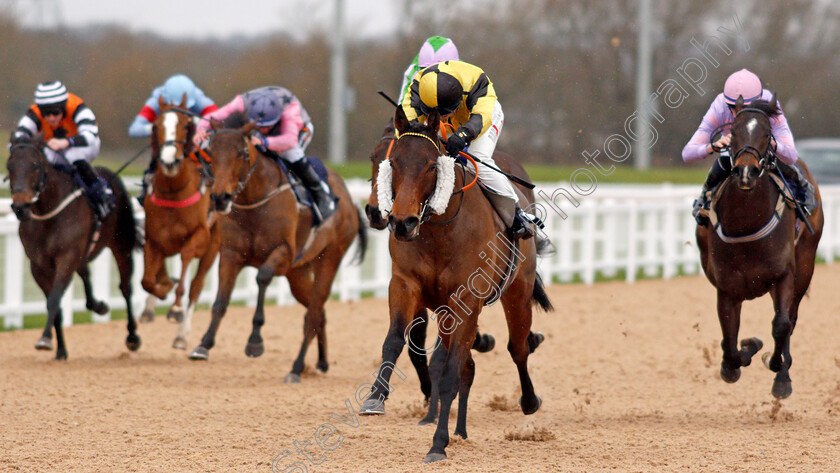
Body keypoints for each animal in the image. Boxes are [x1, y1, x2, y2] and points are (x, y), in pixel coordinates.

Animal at [140, 97, 220, 348]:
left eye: (186, 125)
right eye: (156, 126)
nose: (169, 161)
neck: (174, 192)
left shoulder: (200, 236)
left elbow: (186, 265)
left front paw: (175, 308)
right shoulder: (153, 239)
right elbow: (147, 281)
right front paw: (163, 288)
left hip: (215, 244)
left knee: (196, 286)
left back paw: (181, 336)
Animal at [360, 106, 552, 460]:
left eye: (431, 165)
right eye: (390, 162)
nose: (401, 222)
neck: (439, 231)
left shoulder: (467, 299)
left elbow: (450, 372)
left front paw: (438, 443)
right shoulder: (405, 286)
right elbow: (395, 342)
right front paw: (375, 398)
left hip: (516, 294)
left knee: (517, 348)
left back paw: (529, 400)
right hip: (448, 312)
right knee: (468, 364)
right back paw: (460, 430)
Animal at [696, 96, 828, 398]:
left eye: (767, 134)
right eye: (733, 132)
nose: (746, 172)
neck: (747, 223)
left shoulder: (784, 275)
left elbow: (781, 325)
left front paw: (778, 369)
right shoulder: (727, 287)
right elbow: (730, 343)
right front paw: (746, 350)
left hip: (805, 265)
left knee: (790, 319)